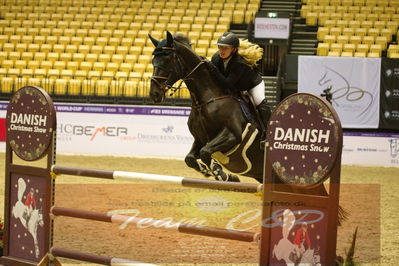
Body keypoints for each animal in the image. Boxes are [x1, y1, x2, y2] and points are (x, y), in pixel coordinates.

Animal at [148, 31, 264, 183]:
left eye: (167, 60)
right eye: (153, 61)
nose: (154, 94)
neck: (204, 101)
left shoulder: (233, 134)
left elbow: (205, 152)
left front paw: (222, 175)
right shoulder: (199, 139)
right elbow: (190, 159)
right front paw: (210, 172)